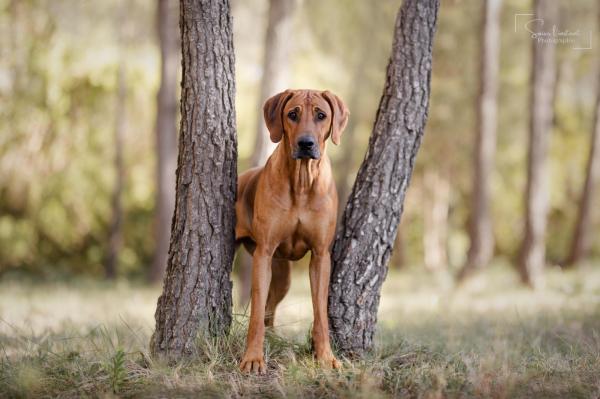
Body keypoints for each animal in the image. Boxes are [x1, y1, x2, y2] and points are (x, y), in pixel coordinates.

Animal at [234, 89, 346, 374]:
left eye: (321, 115)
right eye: (292, 114)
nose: (306, 143)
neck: (302, 180)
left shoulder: (321, 256)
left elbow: (320, 313)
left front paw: (326, 357)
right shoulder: (263, 254)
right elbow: (255, 316)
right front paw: (253, 358)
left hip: (282, 275)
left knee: (271, 310)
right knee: (264, 311)